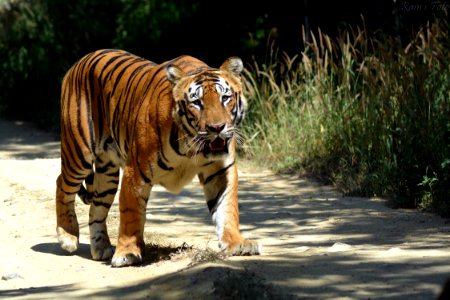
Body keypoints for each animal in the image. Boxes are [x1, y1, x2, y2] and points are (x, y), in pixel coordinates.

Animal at [55, 48, 260, 268]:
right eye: (197, 103)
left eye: (225, 98)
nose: (217, 128)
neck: (190, 146)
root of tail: (80, 61)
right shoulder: (135, 173)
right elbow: (131, 215)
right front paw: (127, 253)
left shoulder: (221, 170)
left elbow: (227, 208)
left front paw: (236, 243)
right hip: (79, 153)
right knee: (62, 184)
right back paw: (67, 237)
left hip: (107, 174)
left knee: (96, 208)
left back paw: (101, 247)